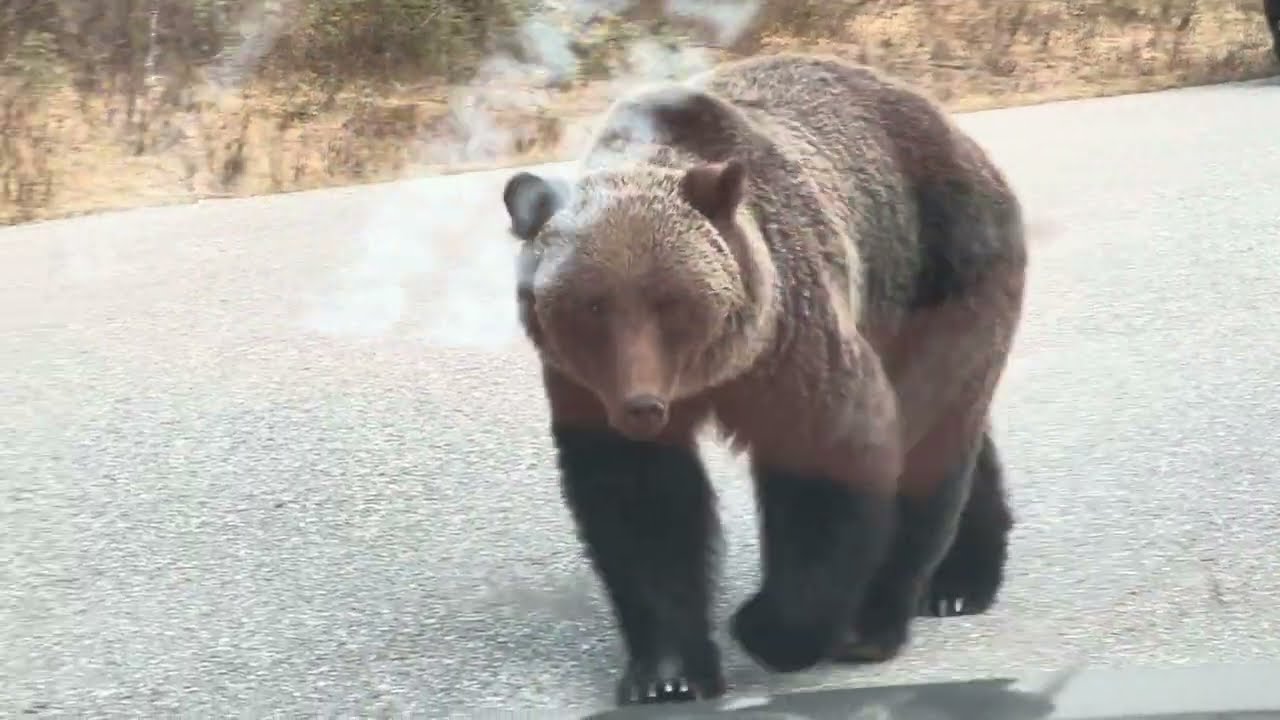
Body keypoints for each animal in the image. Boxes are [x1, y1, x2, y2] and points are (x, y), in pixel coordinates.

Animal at [500, 52, 1027, 706]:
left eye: (670, 301)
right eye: (591, 307)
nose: (642, 406)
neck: (709, 376)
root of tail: (961, 134)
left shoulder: (790, 338)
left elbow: (830, 458)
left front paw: (768, 628)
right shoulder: (587, 387)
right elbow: (643, 507)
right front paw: (667, 675)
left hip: (943, 267)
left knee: (934, 437)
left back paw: (896, 612)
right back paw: (959, 579)